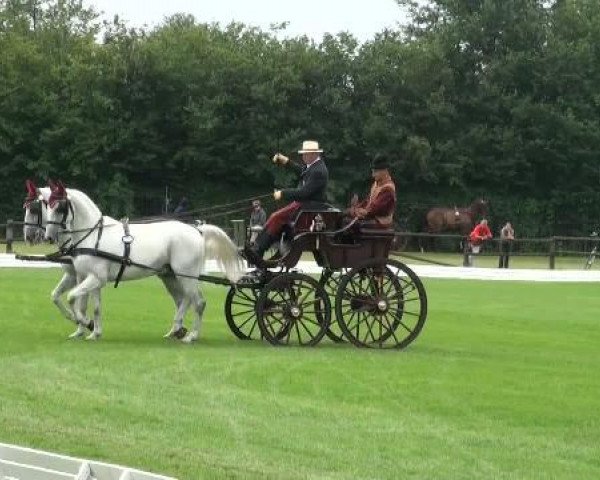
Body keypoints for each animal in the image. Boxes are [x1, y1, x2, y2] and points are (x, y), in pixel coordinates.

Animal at [23, 179, 90, 330]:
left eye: (33, 209)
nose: (28, 236)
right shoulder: (71, 275)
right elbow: (55, 296)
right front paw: (74, 318)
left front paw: (84, 324)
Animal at [41, 180, 244, 342]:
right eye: (47, 207)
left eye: (59, 207)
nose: (48, 237)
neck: (92, 236)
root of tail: (197, 230)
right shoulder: (87, 278)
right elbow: (90, 306)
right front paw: (93, 331)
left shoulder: (96, 279)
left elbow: (71, 298)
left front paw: (85, 323)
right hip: (170, 276)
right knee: (183, 300)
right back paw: (175, 330)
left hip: (186, 275)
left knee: (198, 302)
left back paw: (191, 336)